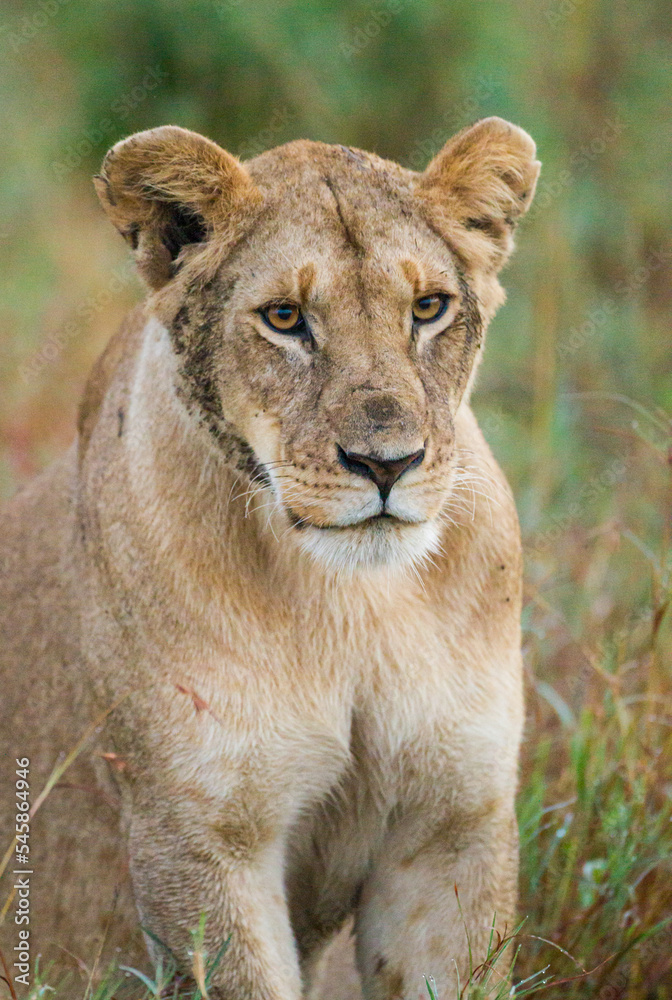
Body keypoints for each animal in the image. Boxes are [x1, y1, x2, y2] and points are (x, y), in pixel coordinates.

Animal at [0, 118, 539, 999]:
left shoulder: (452, 823)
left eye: (429, 307)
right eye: (285, 317)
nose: (386, 463)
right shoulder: (197, 839)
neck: (353, 602)